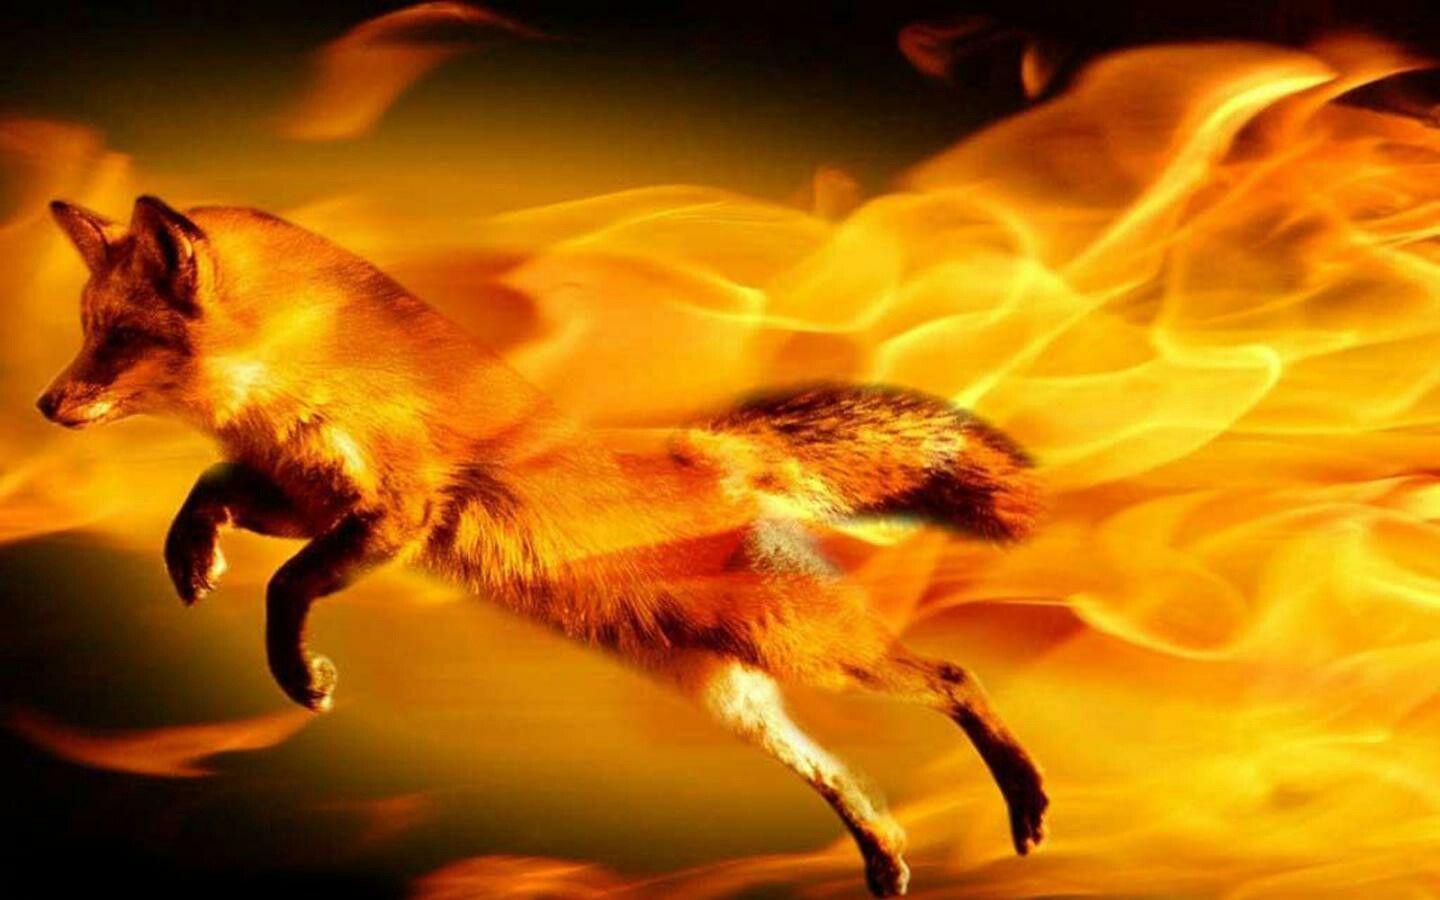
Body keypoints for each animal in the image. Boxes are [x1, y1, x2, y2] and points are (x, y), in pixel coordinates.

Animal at [37, 195, 1048, 897]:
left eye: (118, 337)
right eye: (87, 330)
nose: (46, 405)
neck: (303, 371)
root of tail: (713, 452)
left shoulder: (397, 510)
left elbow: (288, 586)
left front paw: (297, 675)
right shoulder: (302, 493)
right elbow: (209, 492)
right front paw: (189, 558)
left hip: (807, 647)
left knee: (953, 676)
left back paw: (1027, 800)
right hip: (733, 696)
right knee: (845, 779)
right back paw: (883, 856)